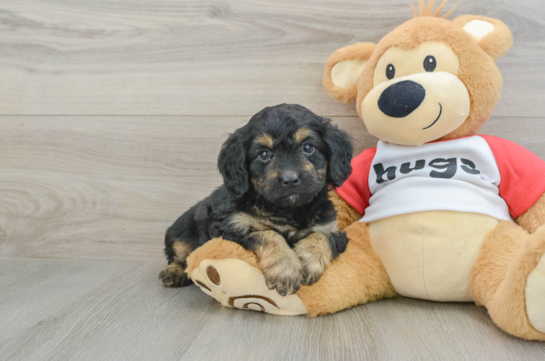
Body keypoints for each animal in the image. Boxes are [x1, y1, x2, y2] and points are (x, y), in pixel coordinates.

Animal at [157, 102, 352, 294]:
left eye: (308, 147)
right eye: (264, 154)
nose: (290, 179)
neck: (287, 210)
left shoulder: (332, 229)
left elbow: (321, 237)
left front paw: (308, 261)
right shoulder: (232, 227)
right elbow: (268, 234)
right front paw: (285, 269)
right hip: (180, 235)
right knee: (178, 255)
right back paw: (173, 273)